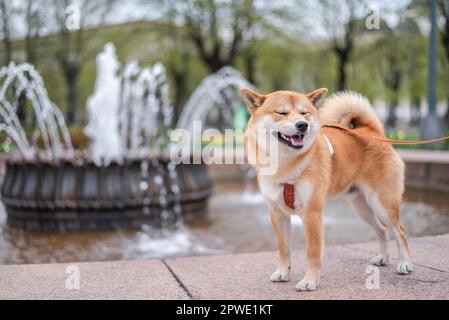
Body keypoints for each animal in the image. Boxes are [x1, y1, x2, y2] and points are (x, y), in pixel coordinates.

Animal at [240, 88, 412, 292]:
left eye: (304, 113)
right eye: (281, 113)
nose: (302, 125)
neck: (286, 164)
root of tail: (373, 131)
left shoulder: (312, 214)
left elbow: (313, 251)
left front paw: (310, 281)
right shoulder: (277, 213)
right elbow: (283, 248)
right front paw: (283, 273)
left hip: (382, 203)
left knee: (399, 231)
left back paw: (405, 264)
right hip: (362, 207)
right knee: (382, 229)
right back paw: (383, 258)